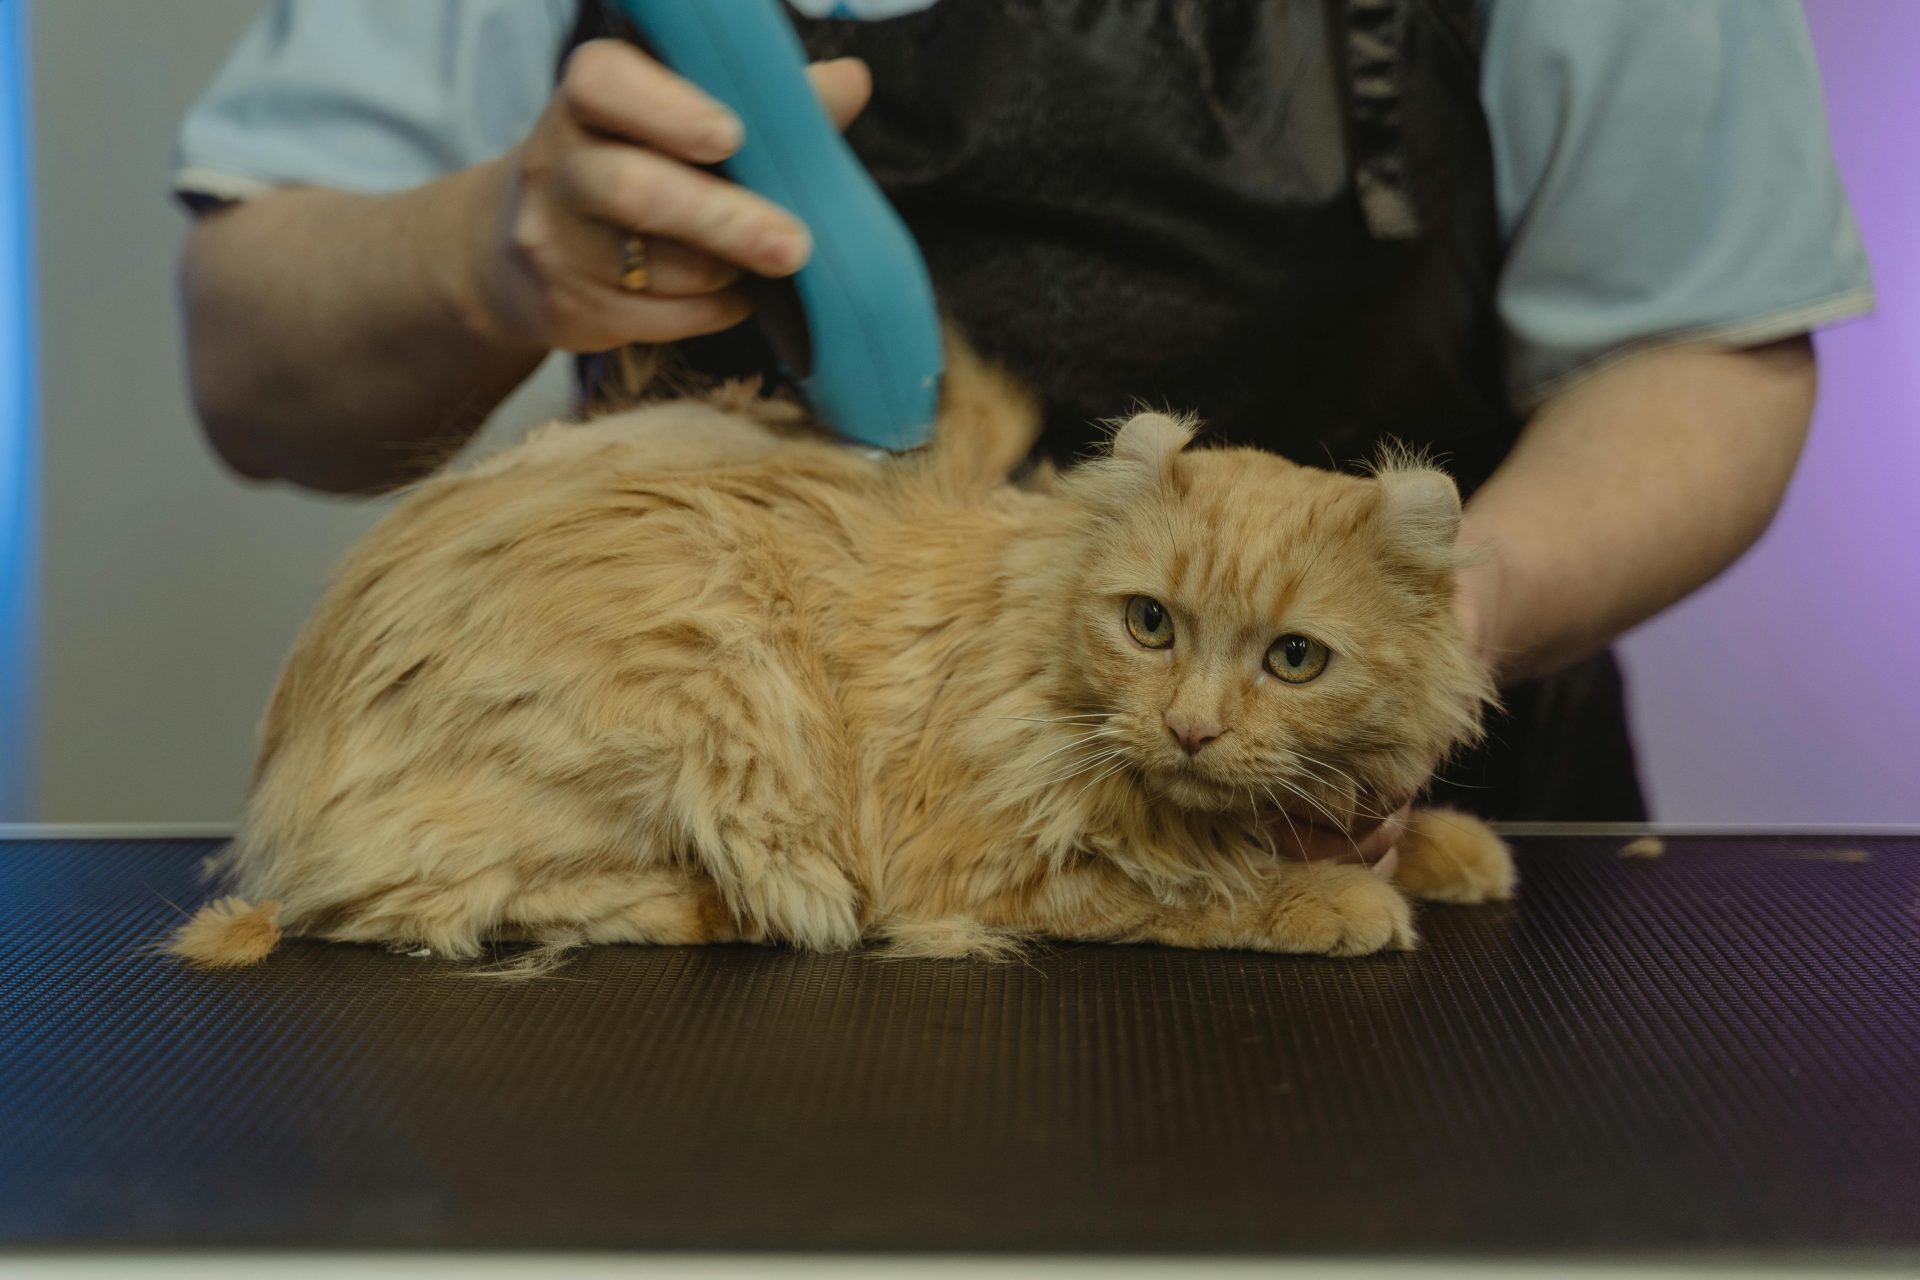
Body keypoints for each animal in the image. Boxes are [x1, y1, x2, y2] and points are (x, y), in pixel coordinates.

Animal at [168, 351, 1512, 971]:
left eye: (1295, 658)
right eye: (1151, 625)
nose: (1192, 726)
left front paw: (1450, 849)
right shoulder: (981, 867)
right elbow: (1186, 888)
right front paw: (1332, 896)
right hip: (716, 694)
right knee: (423, 904)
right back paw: (714, 908)